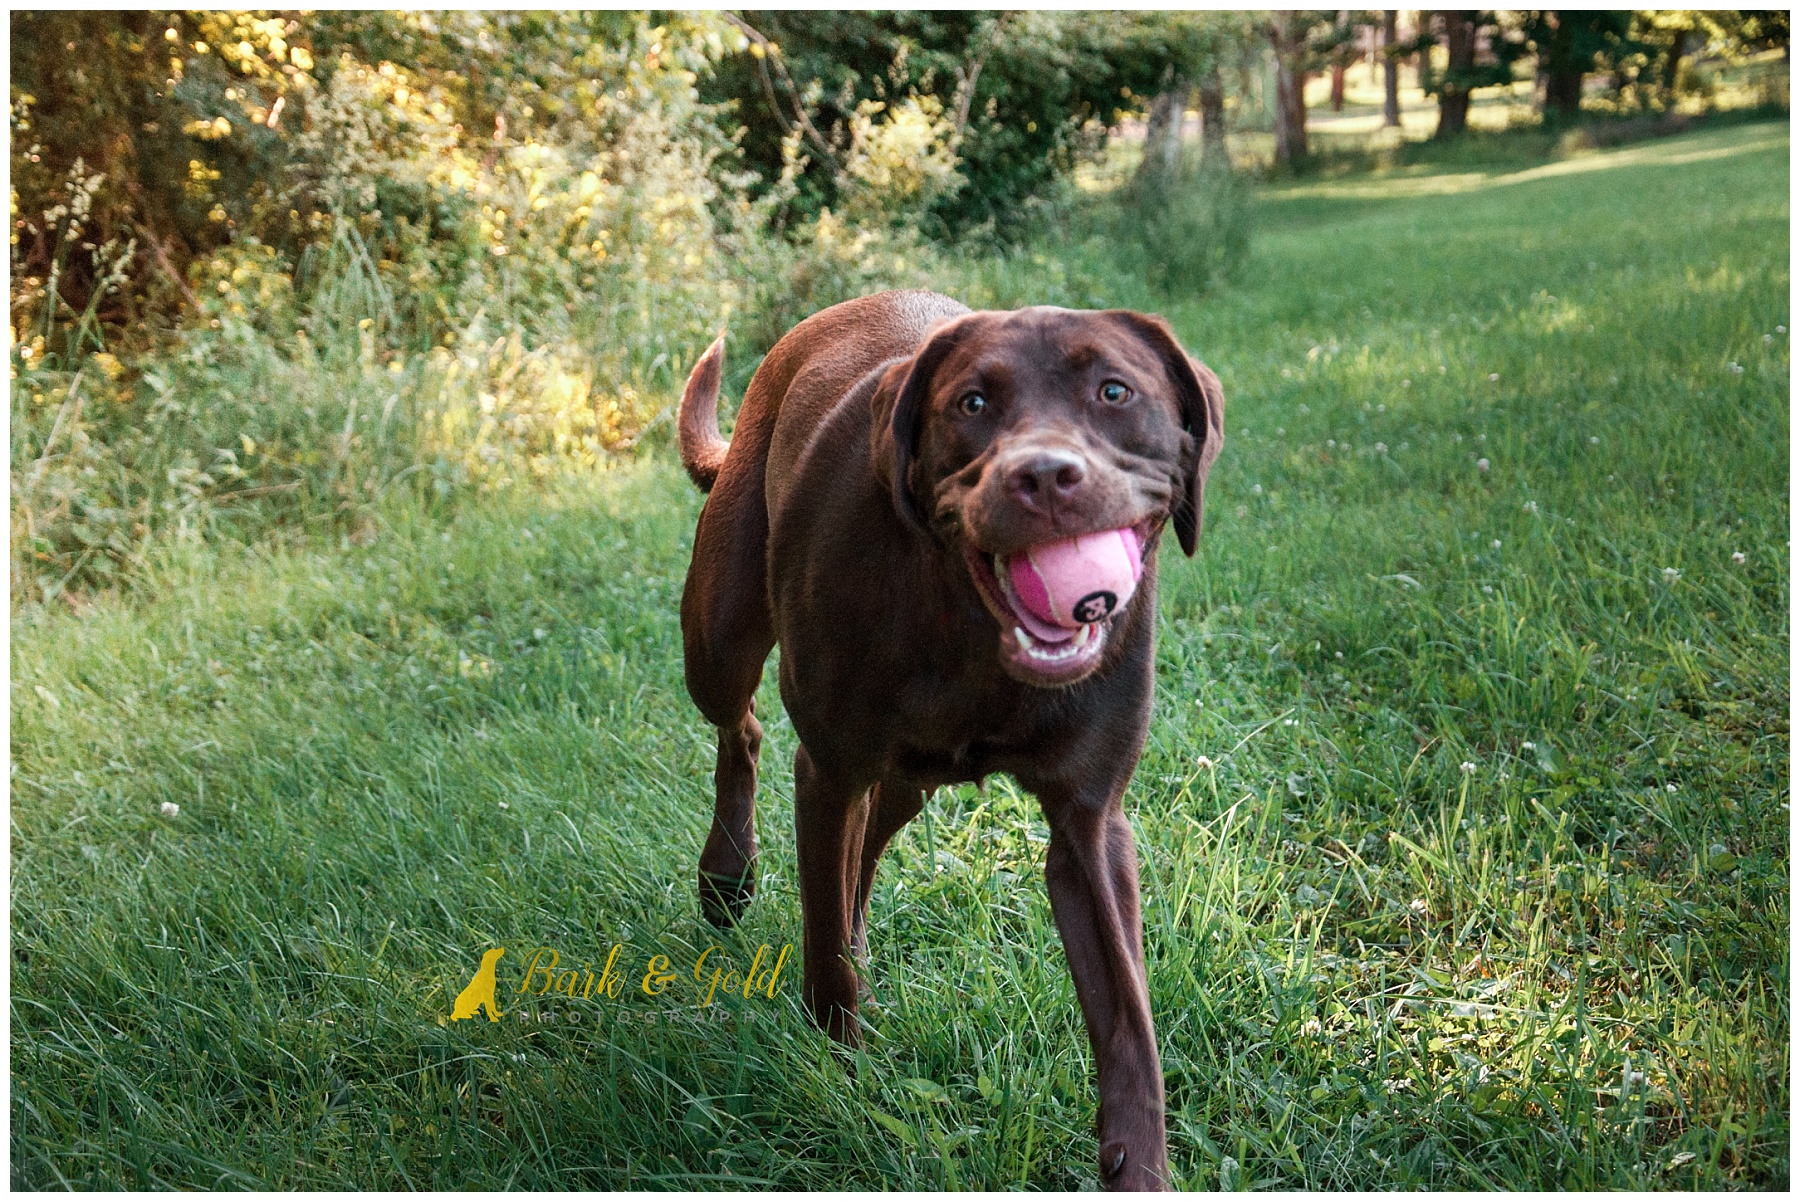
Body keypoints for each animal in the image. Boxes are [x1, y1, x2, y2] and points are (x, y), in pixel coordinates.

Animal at [676, 291, 1224, 1194]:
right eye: (971, 404)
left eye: (1114, 392)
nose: (1045, 476)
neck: (971, 629)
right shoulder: (827, 769)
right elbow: (823, 948)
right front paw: (841, 1071)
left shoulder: (1090, 825)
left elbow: (1129, 1019)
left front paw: (1139, 1164)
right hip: (718, 637)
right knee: (743, 728)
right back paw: (727, 872)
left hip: (910, 778)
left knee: (863, 852)